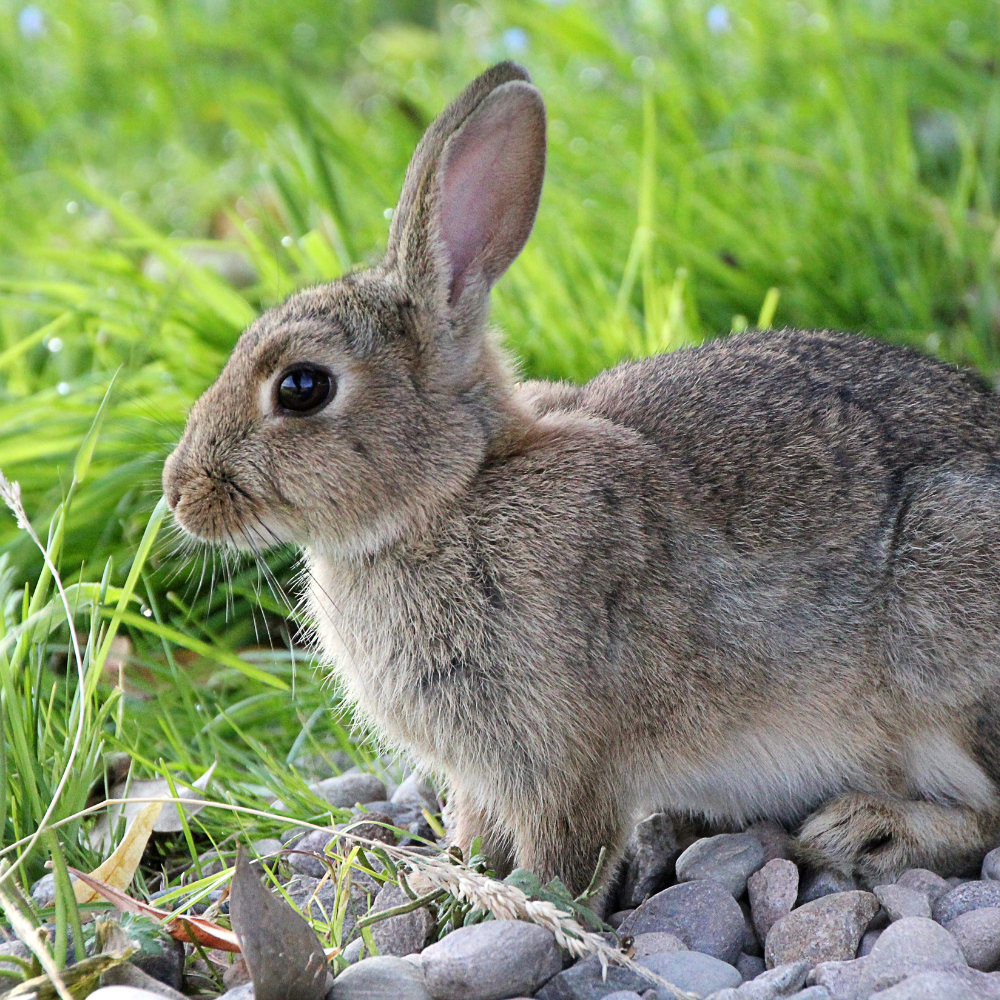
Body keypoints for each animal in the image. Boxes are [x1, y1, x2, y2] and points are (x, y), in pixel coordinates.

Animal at [164, 58, 1000, 896]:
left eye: (302, 387)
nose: (179, 491)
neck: (453, 494)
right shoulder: (486, 770)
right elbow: (478, 825)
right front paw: (456, 875)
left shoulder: (564, 757)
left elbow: (565, 852)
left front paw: (519, 903)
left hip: (946, 630)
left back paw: (867, 830)